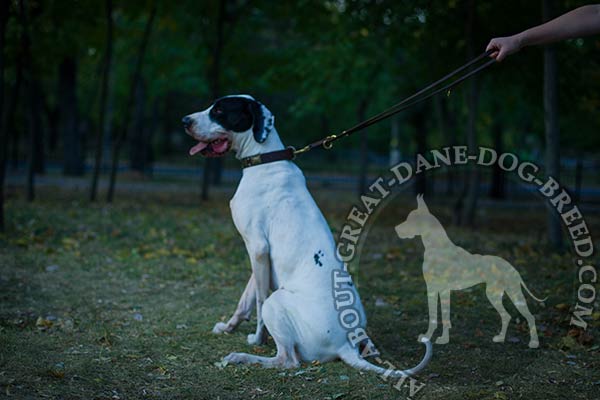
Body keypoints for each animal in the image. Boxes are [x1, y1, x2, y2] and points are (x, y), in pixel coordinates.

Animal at [183, 94, 432, 376]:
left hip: (278, 302)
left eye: (219, 111)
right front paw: (229, 327)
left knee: (287, 359)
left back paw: (243, 357)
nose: (184, 121)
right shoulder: (260, 255)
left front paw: (257, 339)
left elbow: (258, 300)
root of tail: (345, 345)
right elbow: (245, 298)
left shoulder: (256, 247)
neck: (265, 159)